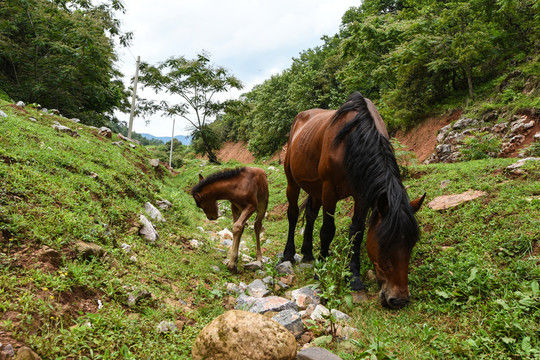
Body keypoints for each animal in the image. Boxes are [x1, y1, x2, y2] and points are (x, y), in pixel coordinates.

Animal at [282, 92, 426, 310]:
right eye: (383, 244)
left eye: (412, 243)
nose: (399, 299)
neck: (351, 142)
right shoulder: (329, 190)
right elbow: (327, 231)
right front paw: (321, 271)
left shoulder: (362, 195)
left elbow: (357, 233)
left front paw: (355, 279)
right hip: (293, 182)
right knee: (293, 214)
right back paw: (288, 255)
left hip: (315, 188)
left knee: (310, 215)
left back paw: (308, 254)